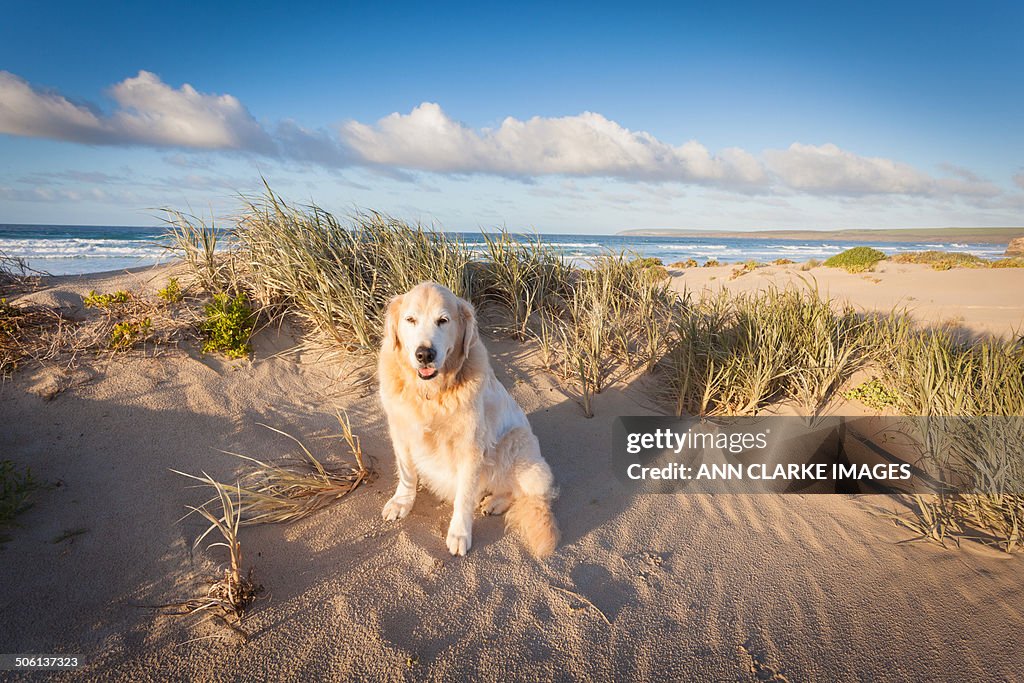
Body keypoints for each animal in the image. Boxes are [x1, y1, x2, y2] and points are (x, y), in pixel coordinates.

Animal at [378, 280, 561, 557]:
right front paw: (402, 502)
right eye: (410, 320)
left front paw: (459, 533)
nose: (425, 354)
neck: (431, 393)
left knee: (525, 492)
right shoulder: (401, 431)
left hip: (515, 443)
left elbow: (464, 496)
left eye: (443, 320)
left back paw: (495, 502)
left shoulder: (471, 447)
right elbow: (407, 473)